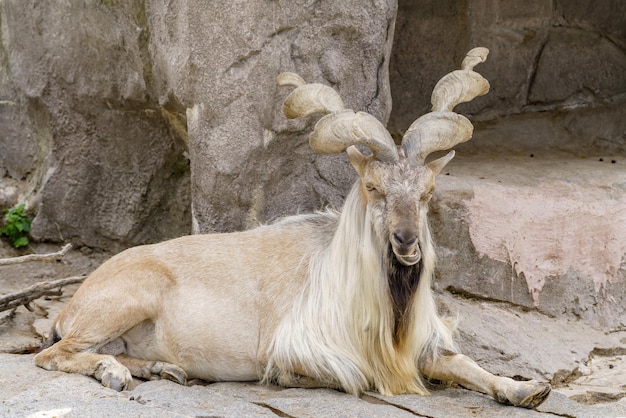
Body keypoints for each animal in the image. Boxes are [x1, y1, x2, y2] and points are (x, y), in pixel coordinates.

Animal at [36, 48, 548, 408]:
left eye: (427, 192)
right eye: (372, 187)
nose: (407, 243)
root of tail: (71, 305)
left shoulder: (423, 345)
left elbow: (466, 363)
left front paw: (524, 389)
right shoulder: (299, 350)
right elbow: (353, 376)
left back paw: (160, 370)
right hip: (124, 301)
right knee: (52, 356)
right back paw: (115, 372)